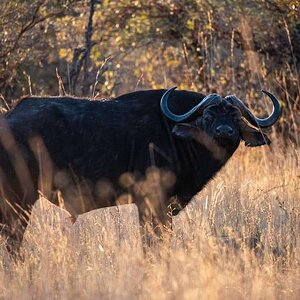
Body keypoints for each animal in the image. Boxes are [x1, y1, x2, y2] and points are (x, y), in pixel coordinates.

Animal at [0, 87, 282, 244]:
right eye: (208, 116)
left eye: (235, 116)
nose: (224, 132)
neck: (176, 137)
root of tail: (8, 118)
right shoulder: (151, 203)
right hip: (20, 199)